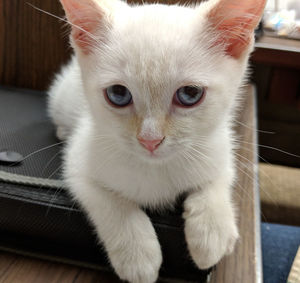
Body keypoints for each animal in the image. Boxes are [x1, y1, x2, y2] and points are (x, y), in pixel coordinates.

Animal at [48, 1, 266, 282]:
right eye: (117, 93)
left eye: (190, 93)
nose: (150, 140)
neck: (157, 167)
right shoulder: (78, 163)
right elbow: (109, 201)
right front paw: (138, 255)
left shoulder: (219, 146)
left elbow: (218, 179)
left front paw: (212, 233)